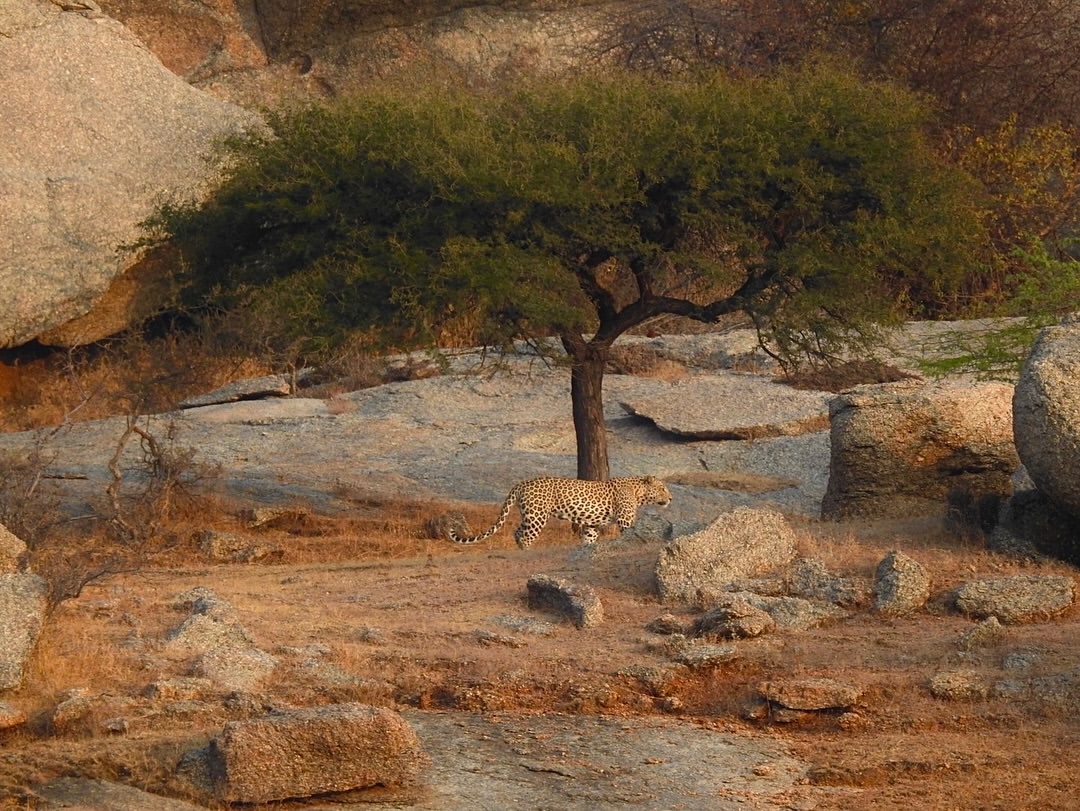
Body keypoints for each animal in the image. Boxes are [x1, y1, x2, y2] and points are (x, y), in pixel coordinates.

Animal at [447, 475, 672, 549]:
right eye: (662, 488)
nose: (671, 498)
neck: (638, 492)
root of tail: (521, 483)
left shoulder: (592, 525)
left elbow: (589, 539)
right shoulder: (625, 521)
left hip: (529, 515)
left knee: (517, 532)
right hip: (537, 516)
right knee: (526, 536)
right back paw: (528, 552)